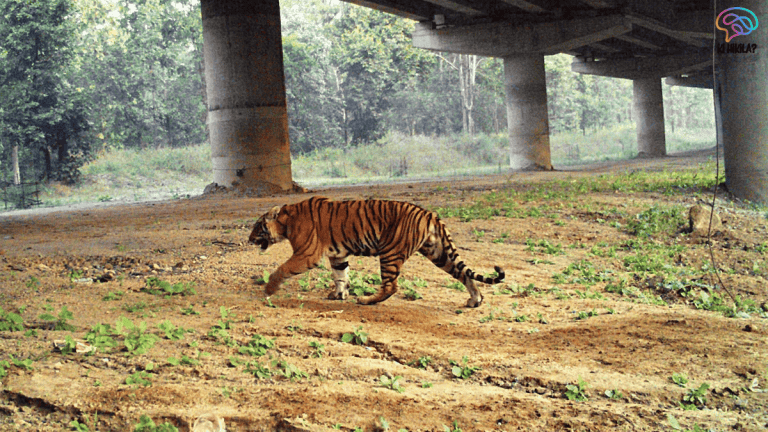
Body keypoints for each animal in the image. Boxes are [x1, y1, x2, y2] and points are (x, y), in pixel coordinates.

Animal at [248, 196, 505, 307]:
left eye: (257, 227)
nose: (248, 239)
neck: (286, 221)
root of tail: (430, 213)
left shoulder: (306, 254)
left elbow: (282, 269)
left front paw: (269, 289)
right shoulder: (338, 255)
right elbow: (341, 275)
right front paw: (338, 295)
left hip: (390, 253)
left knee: (391, 286)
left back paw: (367, 300)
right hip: (439, 253)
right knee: (464, 275)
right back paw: (475, 300)